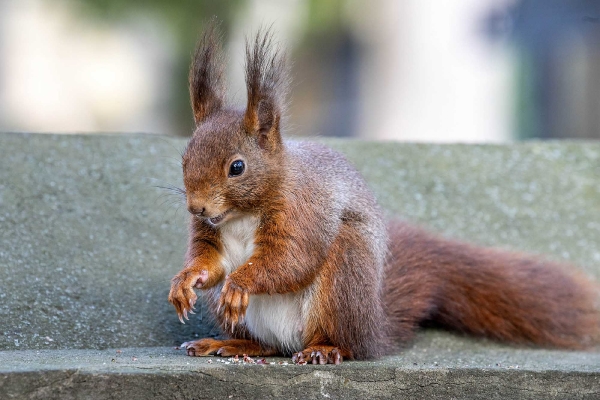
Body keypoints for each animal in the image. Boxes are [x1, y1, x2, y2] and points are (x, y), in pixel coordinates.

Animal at [168, 22, 600, 366]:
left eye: (237, 167)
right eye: (184, 157)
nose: (196, 207)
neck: (241, 213)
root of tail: (374, 327)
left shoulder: (303, 211)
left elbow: (290, 260)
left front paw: (240, 284)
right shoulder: (212, 233)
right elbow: (211, 262)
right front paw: (185, 281)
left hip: (343, 277)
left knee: (342, 343)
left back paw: (324, 349)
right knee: (271, 346)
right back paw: (230, 344)